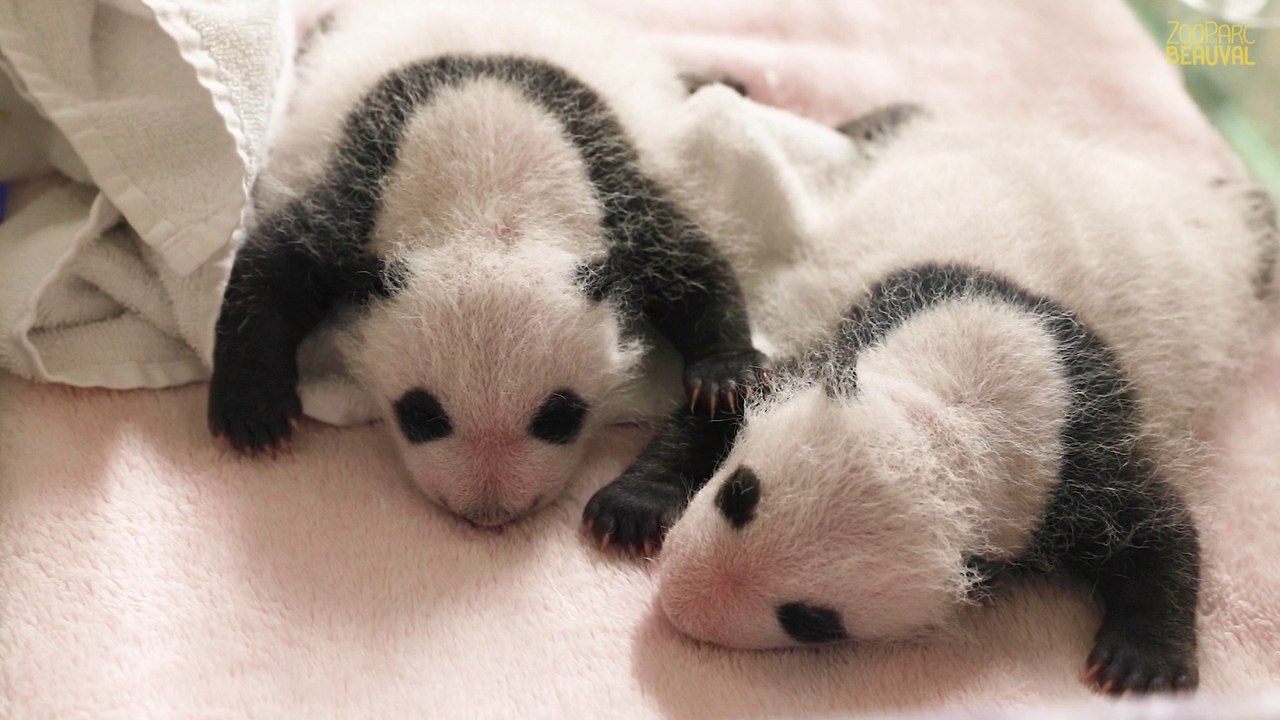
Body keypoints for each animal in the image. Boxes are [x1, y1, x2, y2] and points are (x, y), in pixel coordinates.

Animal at [207, 0, 765, 528]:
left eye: (559, 416)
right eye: (421, 415)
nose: (488, 513)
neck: (491, 206)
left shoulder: (617, 204)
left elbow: (694, 264)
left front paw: (723, 377)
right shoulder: (361, 205)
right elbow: (274, 261)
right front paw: (254, 412)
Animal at [583, 104, 1278, 693]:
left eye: (812, 619)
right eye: (740, 493)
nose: (681, 600)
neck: (959, 406)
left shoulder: (1073, 451)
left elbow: (1158, 526)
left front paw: (1140, 660)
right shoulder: (852, 342)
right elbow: (728, 402)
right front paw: (632, 509)